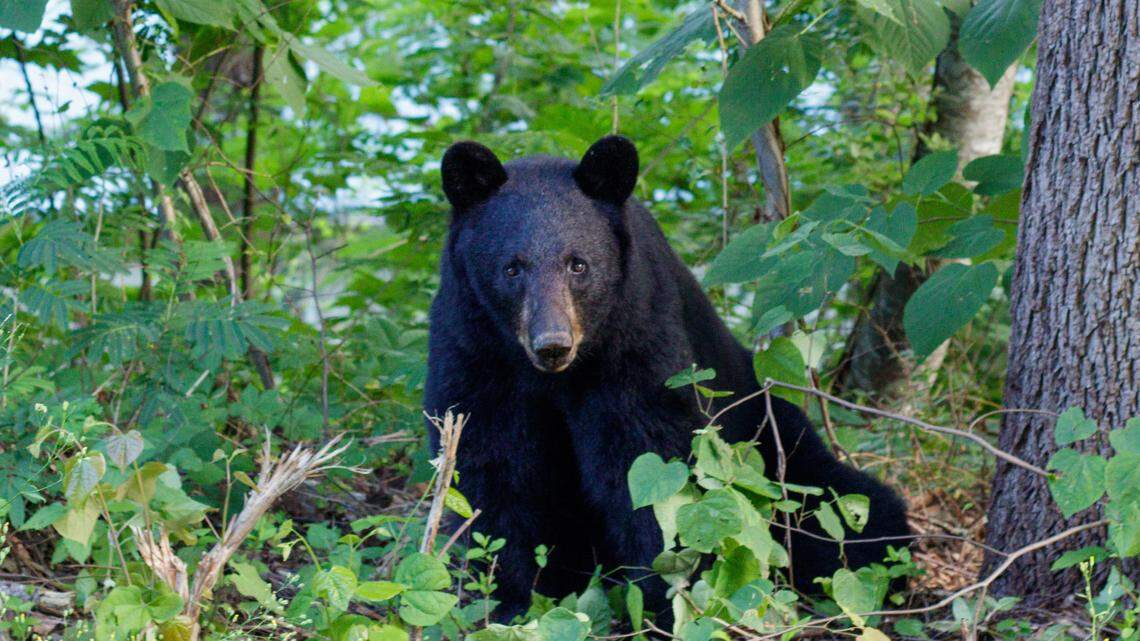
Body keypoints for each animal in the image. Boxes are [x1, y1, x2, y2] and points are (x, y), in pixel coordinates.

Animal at [423, 135, 910, 621]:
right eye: (512, 267)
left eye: (578, 265)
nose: (553, 343)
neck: (555, 377)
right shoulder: (475, 352)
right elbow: (493, 470)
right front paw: (509, 601)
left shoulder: (636, 338)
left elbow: (648, 460)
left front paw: (665, 598)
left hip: (777, 442)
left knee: (846, 508)